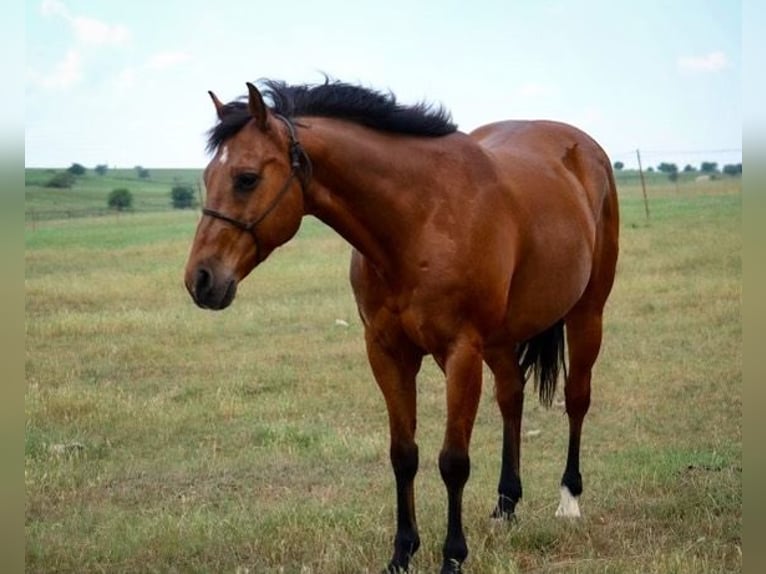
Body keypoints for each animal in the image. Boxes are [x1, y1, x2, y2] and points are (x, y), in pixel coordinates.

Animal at [186, 77, 624, 574]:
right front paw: (401, 553)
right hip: (500, 340)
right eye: (207, 178)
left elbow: (453, 461)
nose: (201, 279)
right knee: (511, 398)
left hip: (587, 314)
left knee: (577, 399)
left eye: (246, 178)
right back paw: (505, 505)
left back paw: (568, 500)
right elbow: (404, 454)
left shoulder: (461, 353)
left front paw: (452, 556)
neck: (420, 218)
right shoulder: (388, 353)